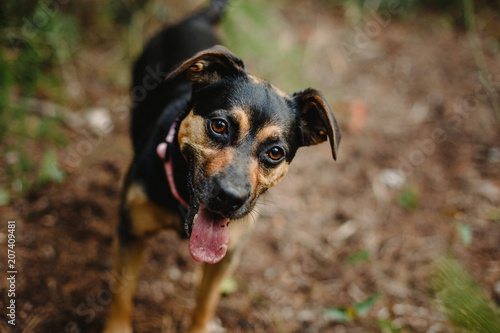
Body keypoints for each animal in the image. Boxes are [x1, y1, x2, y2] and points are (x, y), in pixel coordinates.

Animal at [103, 1, 342, 330]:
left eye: (276, 153)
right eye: (219, 126)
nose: (230, 198)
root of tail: (200, 18)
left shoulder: (225, 257)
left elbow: (206, 304)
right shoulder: (131, 232)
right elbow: (122, 293)